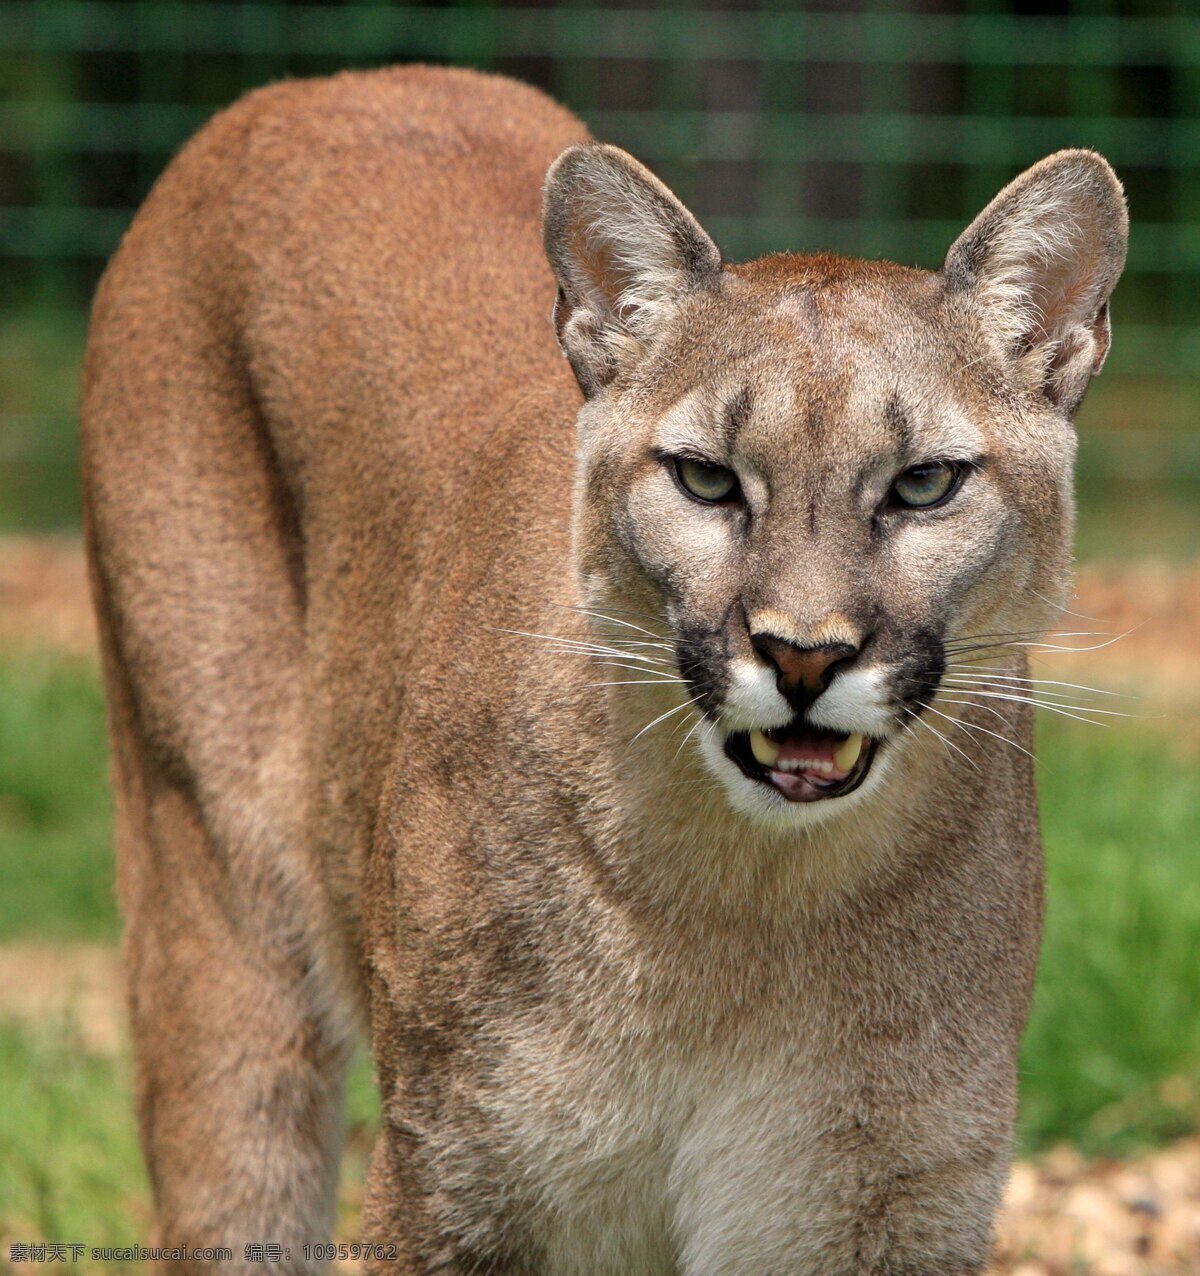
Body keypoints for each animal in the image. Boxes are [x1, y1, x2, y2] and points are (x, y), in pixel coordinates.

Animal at [82, 67, 1123, 1276]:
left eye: (923, 485)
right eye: (707, 480)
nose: (803, 652)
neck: (749, 901)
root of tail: (317, 88)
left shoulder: (888, 1204)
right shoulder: (458, 1173)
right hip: (217, 904)